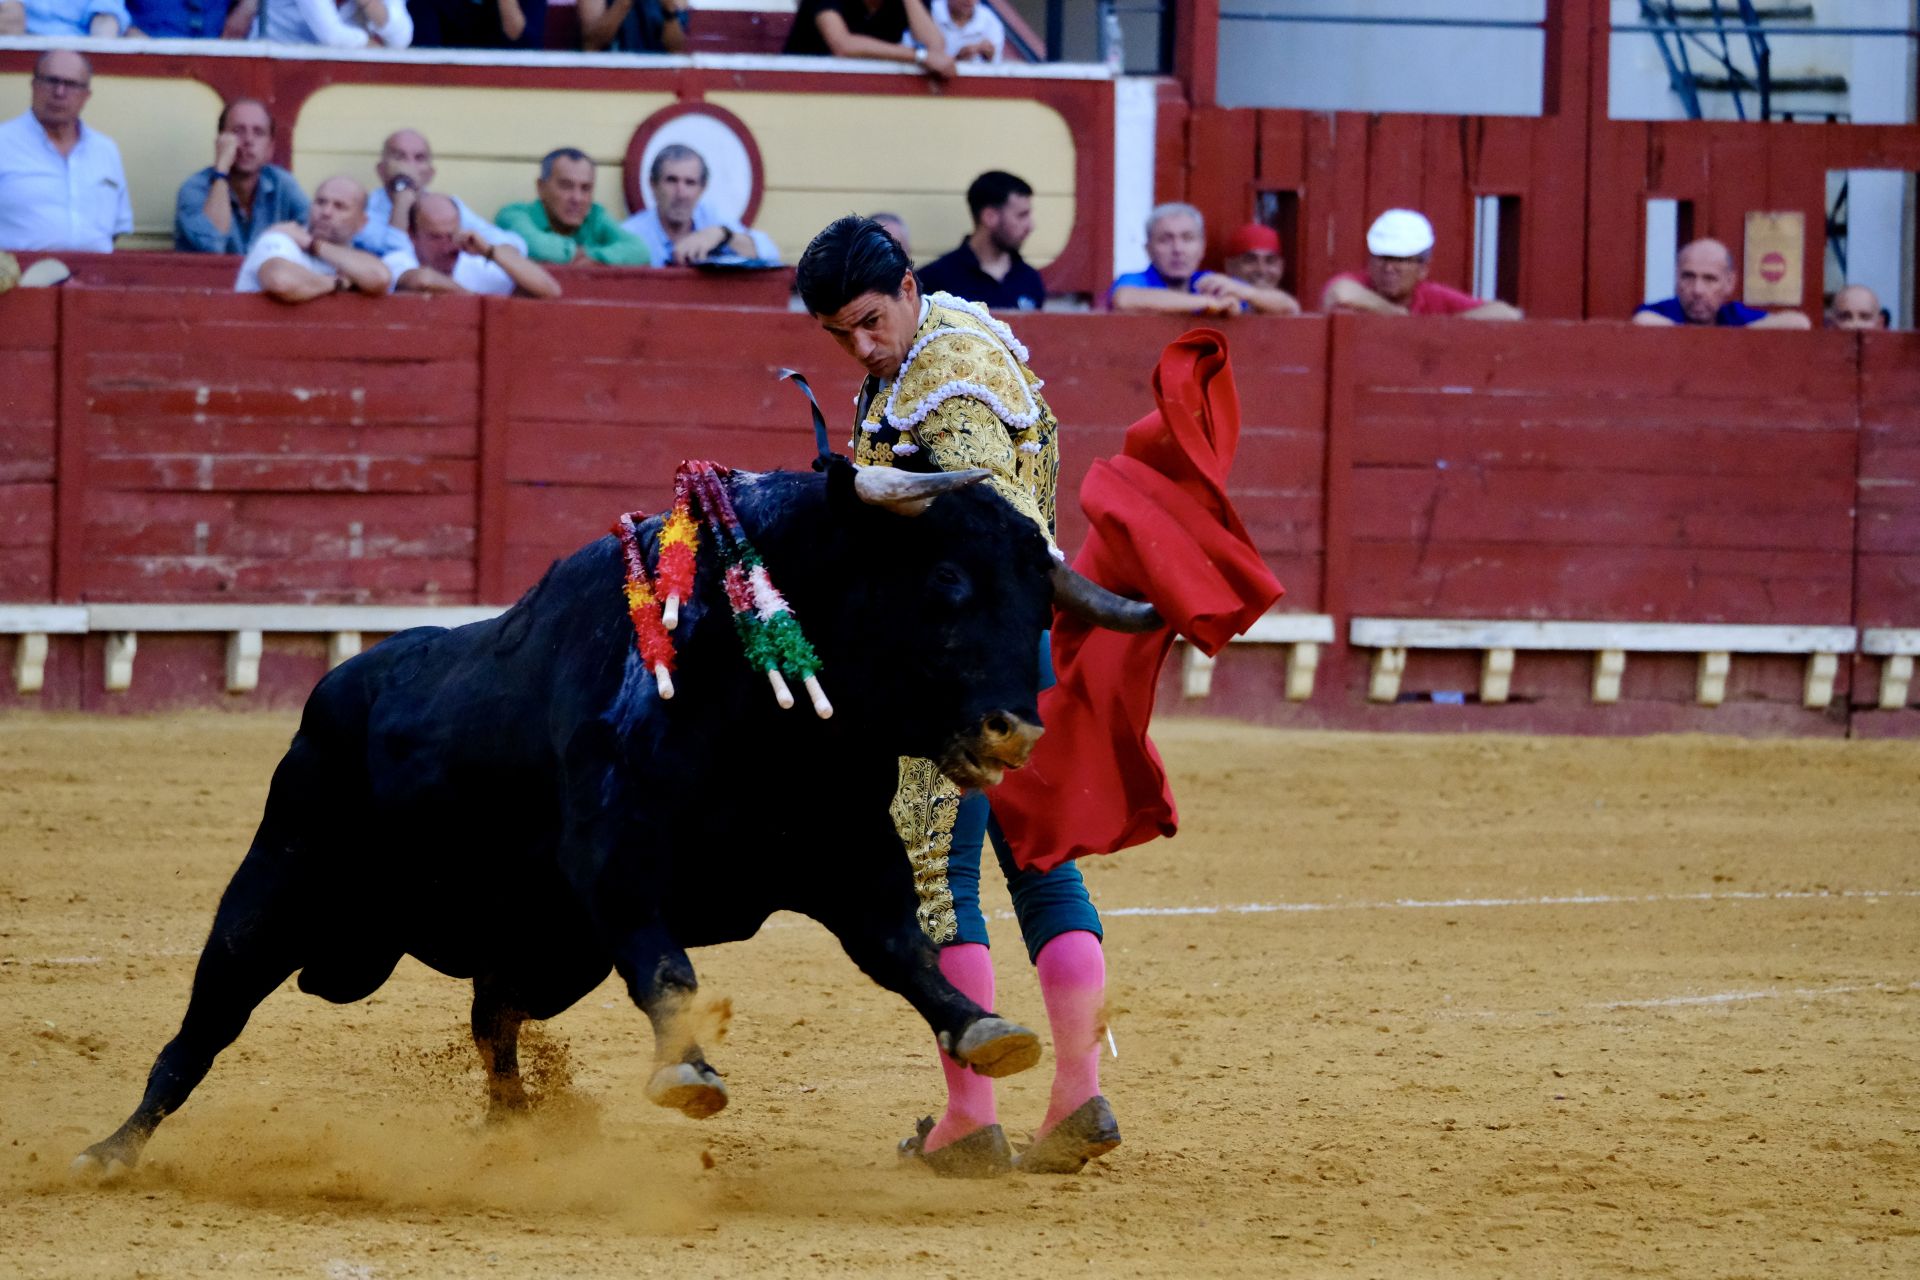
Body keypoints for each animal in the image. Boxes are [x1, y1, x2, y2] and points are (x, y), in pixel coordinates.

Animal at [71, 466, 1152, 1174]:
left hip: (535, 947)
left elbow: (908, 952)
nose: (1018, 726)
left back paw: (519, 1132)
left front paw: (986, 1029)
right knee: (202, 1026)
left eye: (1043, 607)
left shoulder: (851, 858)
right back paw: (108, 1151)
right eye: (946, 584)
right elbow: (666, 965)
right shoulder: (615, 859)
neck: (759, 701)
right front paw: (690, 1072)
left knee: (493, 1021)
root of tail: (335, 690)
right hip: (272, 890)